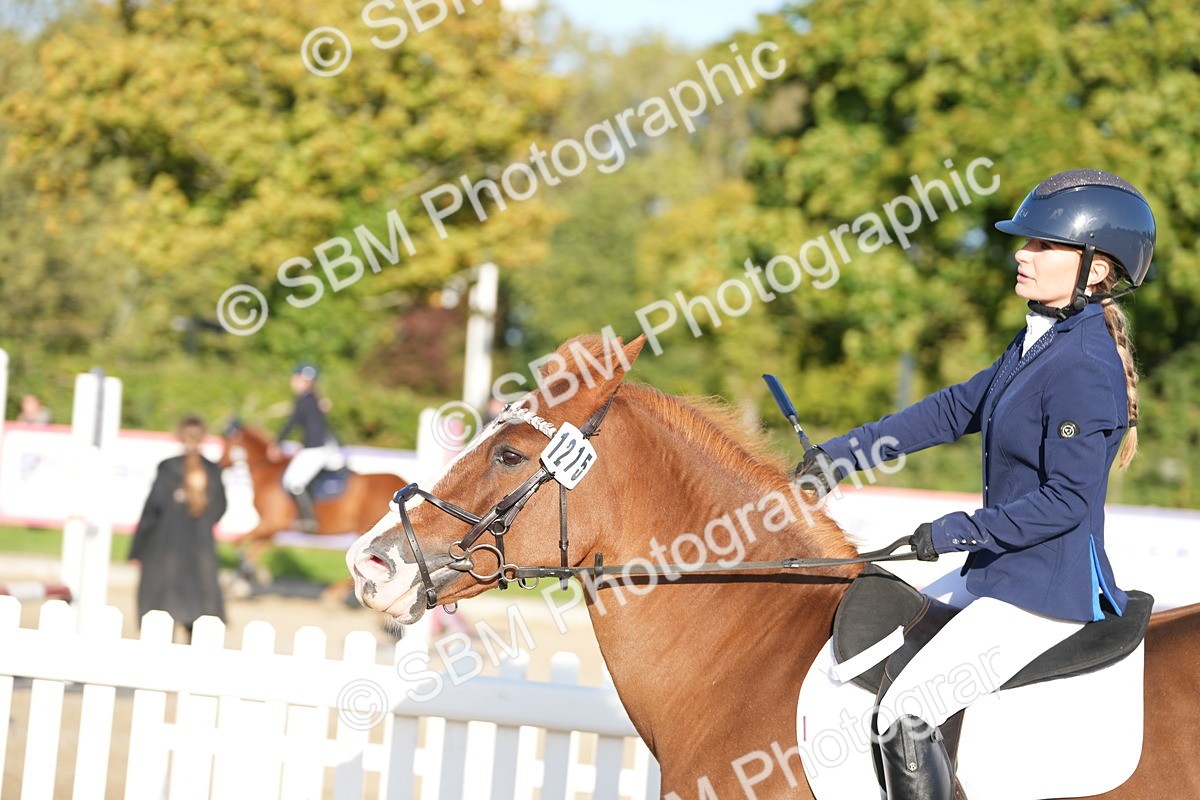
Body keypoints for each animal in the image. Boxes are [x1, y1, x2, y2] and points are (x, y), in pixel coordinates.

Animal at [220, 423, 408, 586]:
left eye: (226, 443)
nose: (219, 465)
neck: (268, 471)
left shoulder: (271, 523)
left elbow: (239, 543)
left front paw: (242, 577)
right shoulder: (272, 529)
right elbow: (253, 550)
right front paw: (251, 574)